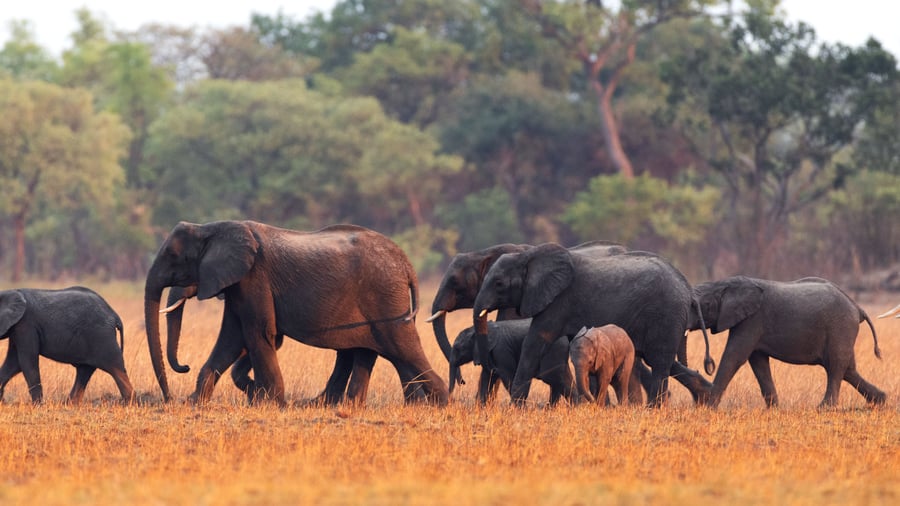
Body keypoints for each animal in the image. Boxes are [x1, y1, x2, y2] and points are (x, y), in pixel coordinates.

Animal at [0, 287, 134, 404]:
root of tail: (114, 315)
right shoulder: (17, 328)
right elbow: (14, 362)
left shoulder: (26, 325)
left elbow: (26, 361)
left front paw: (38, 405)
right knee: (85, 370)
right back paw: (70, 404)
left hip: (102, 336)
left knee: (115, 367)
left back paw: (129, 404)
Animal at [473, 244, 713, 407]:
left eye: (499, 283)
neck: (528, 256)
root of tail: (689, 290)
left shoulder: (559, 301)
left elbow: (535, 342)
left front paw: (516, 407)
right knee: (659, 359)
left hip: (666, 314)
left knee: (660, 361)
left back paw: (654, 409)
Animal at [684, 276, 885, 408]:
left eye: (704, 305)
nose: (707, 365)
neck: (727, 283)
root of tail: (858, 308)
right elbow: (758, 362)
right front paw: (773, 408)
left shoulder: (752, 320)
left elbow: (734, 356)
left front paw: (708, 407)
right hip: (843, 331)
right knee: (848, 369)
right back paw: (879, 401)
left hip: (840, 327)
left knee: (835, 366)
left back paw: (825, 408)